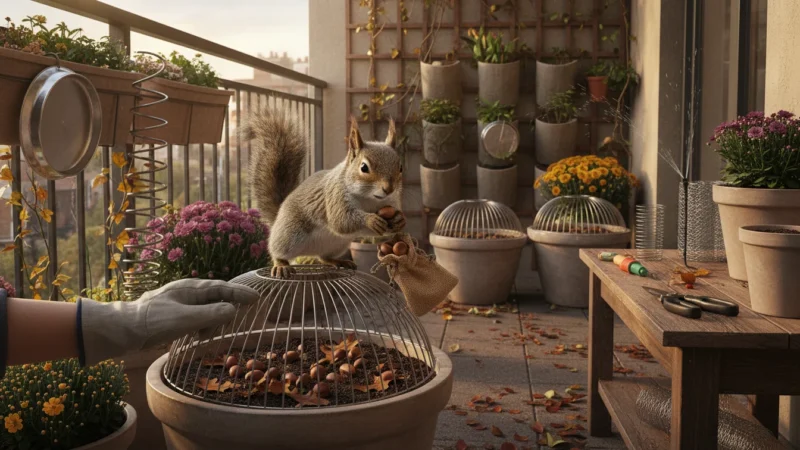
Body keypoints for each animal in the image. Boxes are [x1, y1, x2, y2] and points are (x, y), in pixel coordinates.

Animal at [247, 109, 405, 278]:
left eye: (400, 167)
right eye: (364, 167)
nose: (389, 189)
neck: (369, 198)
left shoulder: (391, 201)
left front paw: (399, 220)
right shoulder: (335, 196)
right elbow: (341, 220)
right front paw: (370, 220)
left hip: (338, 244)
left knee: (324, 257)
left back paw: (339, 261)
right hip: (289, 234)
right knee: (277, 251)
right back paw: (281, 265)